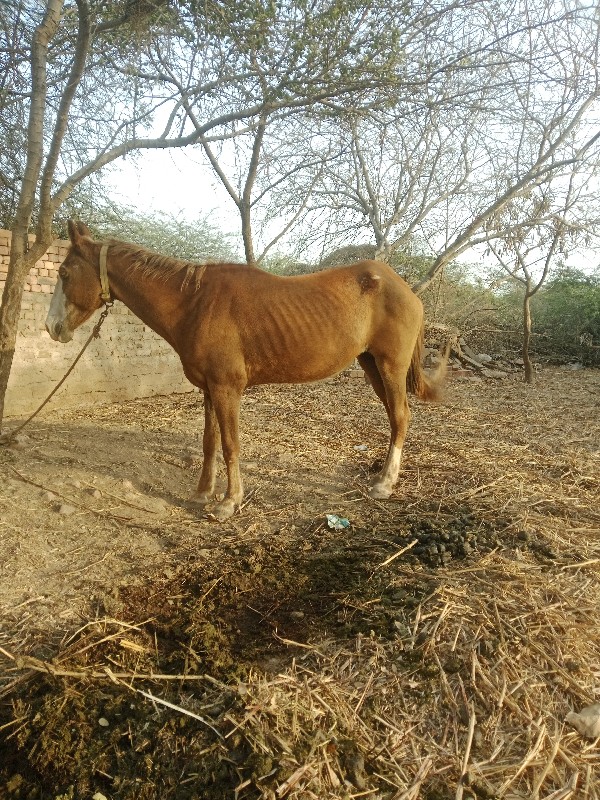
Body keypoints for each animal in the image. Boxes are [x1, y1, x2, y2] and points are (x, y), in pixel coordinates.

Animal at [44, 220, 442, 520]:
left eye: (64, 272)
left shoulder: (227, 388)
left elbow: (231, 444)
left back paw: (384, 484)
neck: (195, 303)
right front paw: (203, 492)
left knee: (400, 417)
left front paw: (229, 502)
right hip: (372, 366)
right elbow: (209, 442)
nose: (51, 328)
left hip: (390, 367)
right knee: (395, 417)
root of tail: (404, 287)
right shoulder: (208, 388)